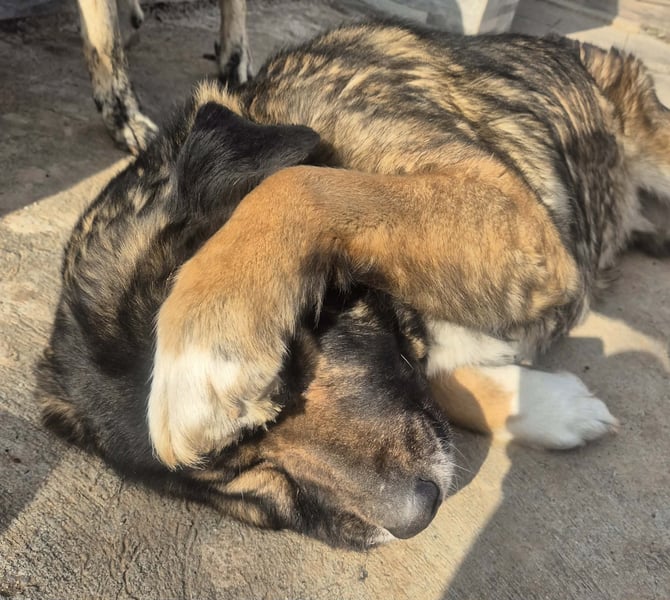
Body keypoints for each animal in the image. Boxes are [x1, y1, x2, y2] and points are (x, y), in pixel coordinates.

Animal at [40, 21, 669, 546]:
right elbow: (443, 377)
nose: (416, 516)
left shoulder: (515, 214)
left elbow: (305, 183)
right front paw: (550, 407)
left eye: (296, 359)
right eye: (252, 475)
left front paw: (204, 350)